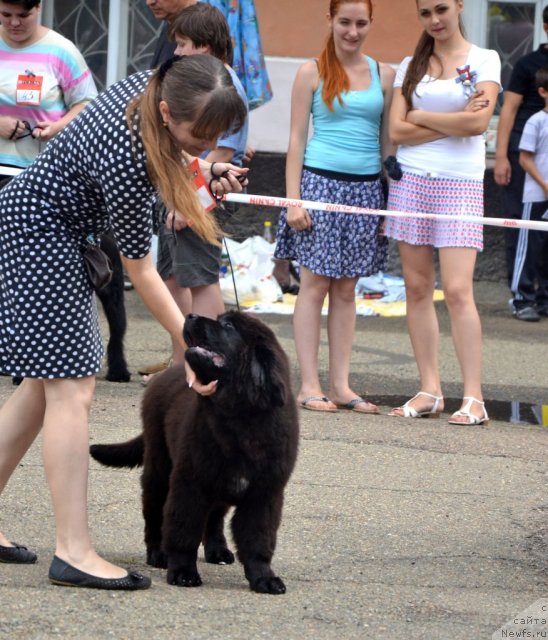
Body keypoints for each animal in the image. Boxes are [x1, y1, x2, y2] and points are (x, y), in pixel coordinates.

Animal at [89, 312, 298, 596]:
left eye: (228, 325)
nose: (191, 315)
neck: (239, 417)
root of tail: (165, 374)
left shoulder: (264, 493)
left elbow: (259, 538)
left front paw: (264, 578)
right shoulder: (190, 482)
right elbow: (183, 529)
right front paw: (183, 572)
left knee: (214, 517)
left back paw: (217, 550)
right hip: (160, 467)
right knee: (155, 511)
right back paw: (158, 554)